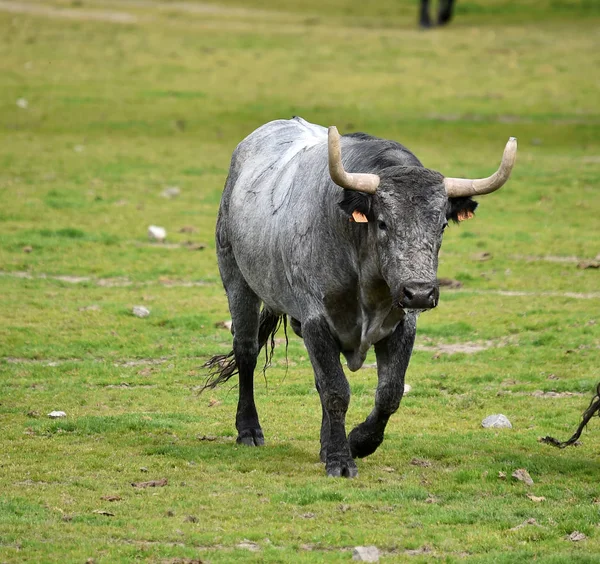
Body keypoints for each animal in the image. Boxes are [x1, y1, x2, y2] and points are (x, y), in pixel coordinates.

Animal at [206, 117, 516, 478]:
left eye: (441, 226)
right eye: (382, 223)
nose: (419, 292)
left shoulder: (401, 325)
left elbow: (388, 393)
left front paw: (356, 442)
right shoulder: (316, 320)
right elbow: (336, 390)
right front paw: (341, 460)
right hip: (237, 278)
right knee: (247, 350)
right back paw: (249, 429)